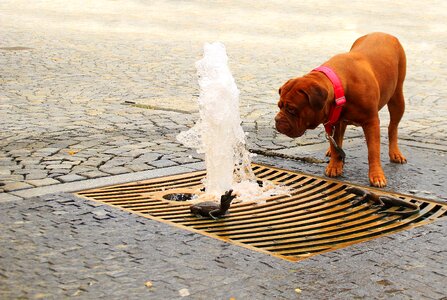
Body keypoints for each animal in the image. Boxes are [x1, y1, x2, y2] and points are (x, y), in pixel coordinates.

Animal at [274, 31, 408, 186]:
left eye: (291, 109)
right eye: (279, 106)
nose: (277, 119)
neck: (340, 85)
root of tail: (383, 33)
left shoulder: (371, 122)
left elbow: (373, 152)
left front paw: (376, 175)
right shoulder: (334, 120)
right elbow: (335, 144)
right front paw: (334, 165)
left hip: (397, 98)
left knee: (393, 126)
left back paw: (395, 152)